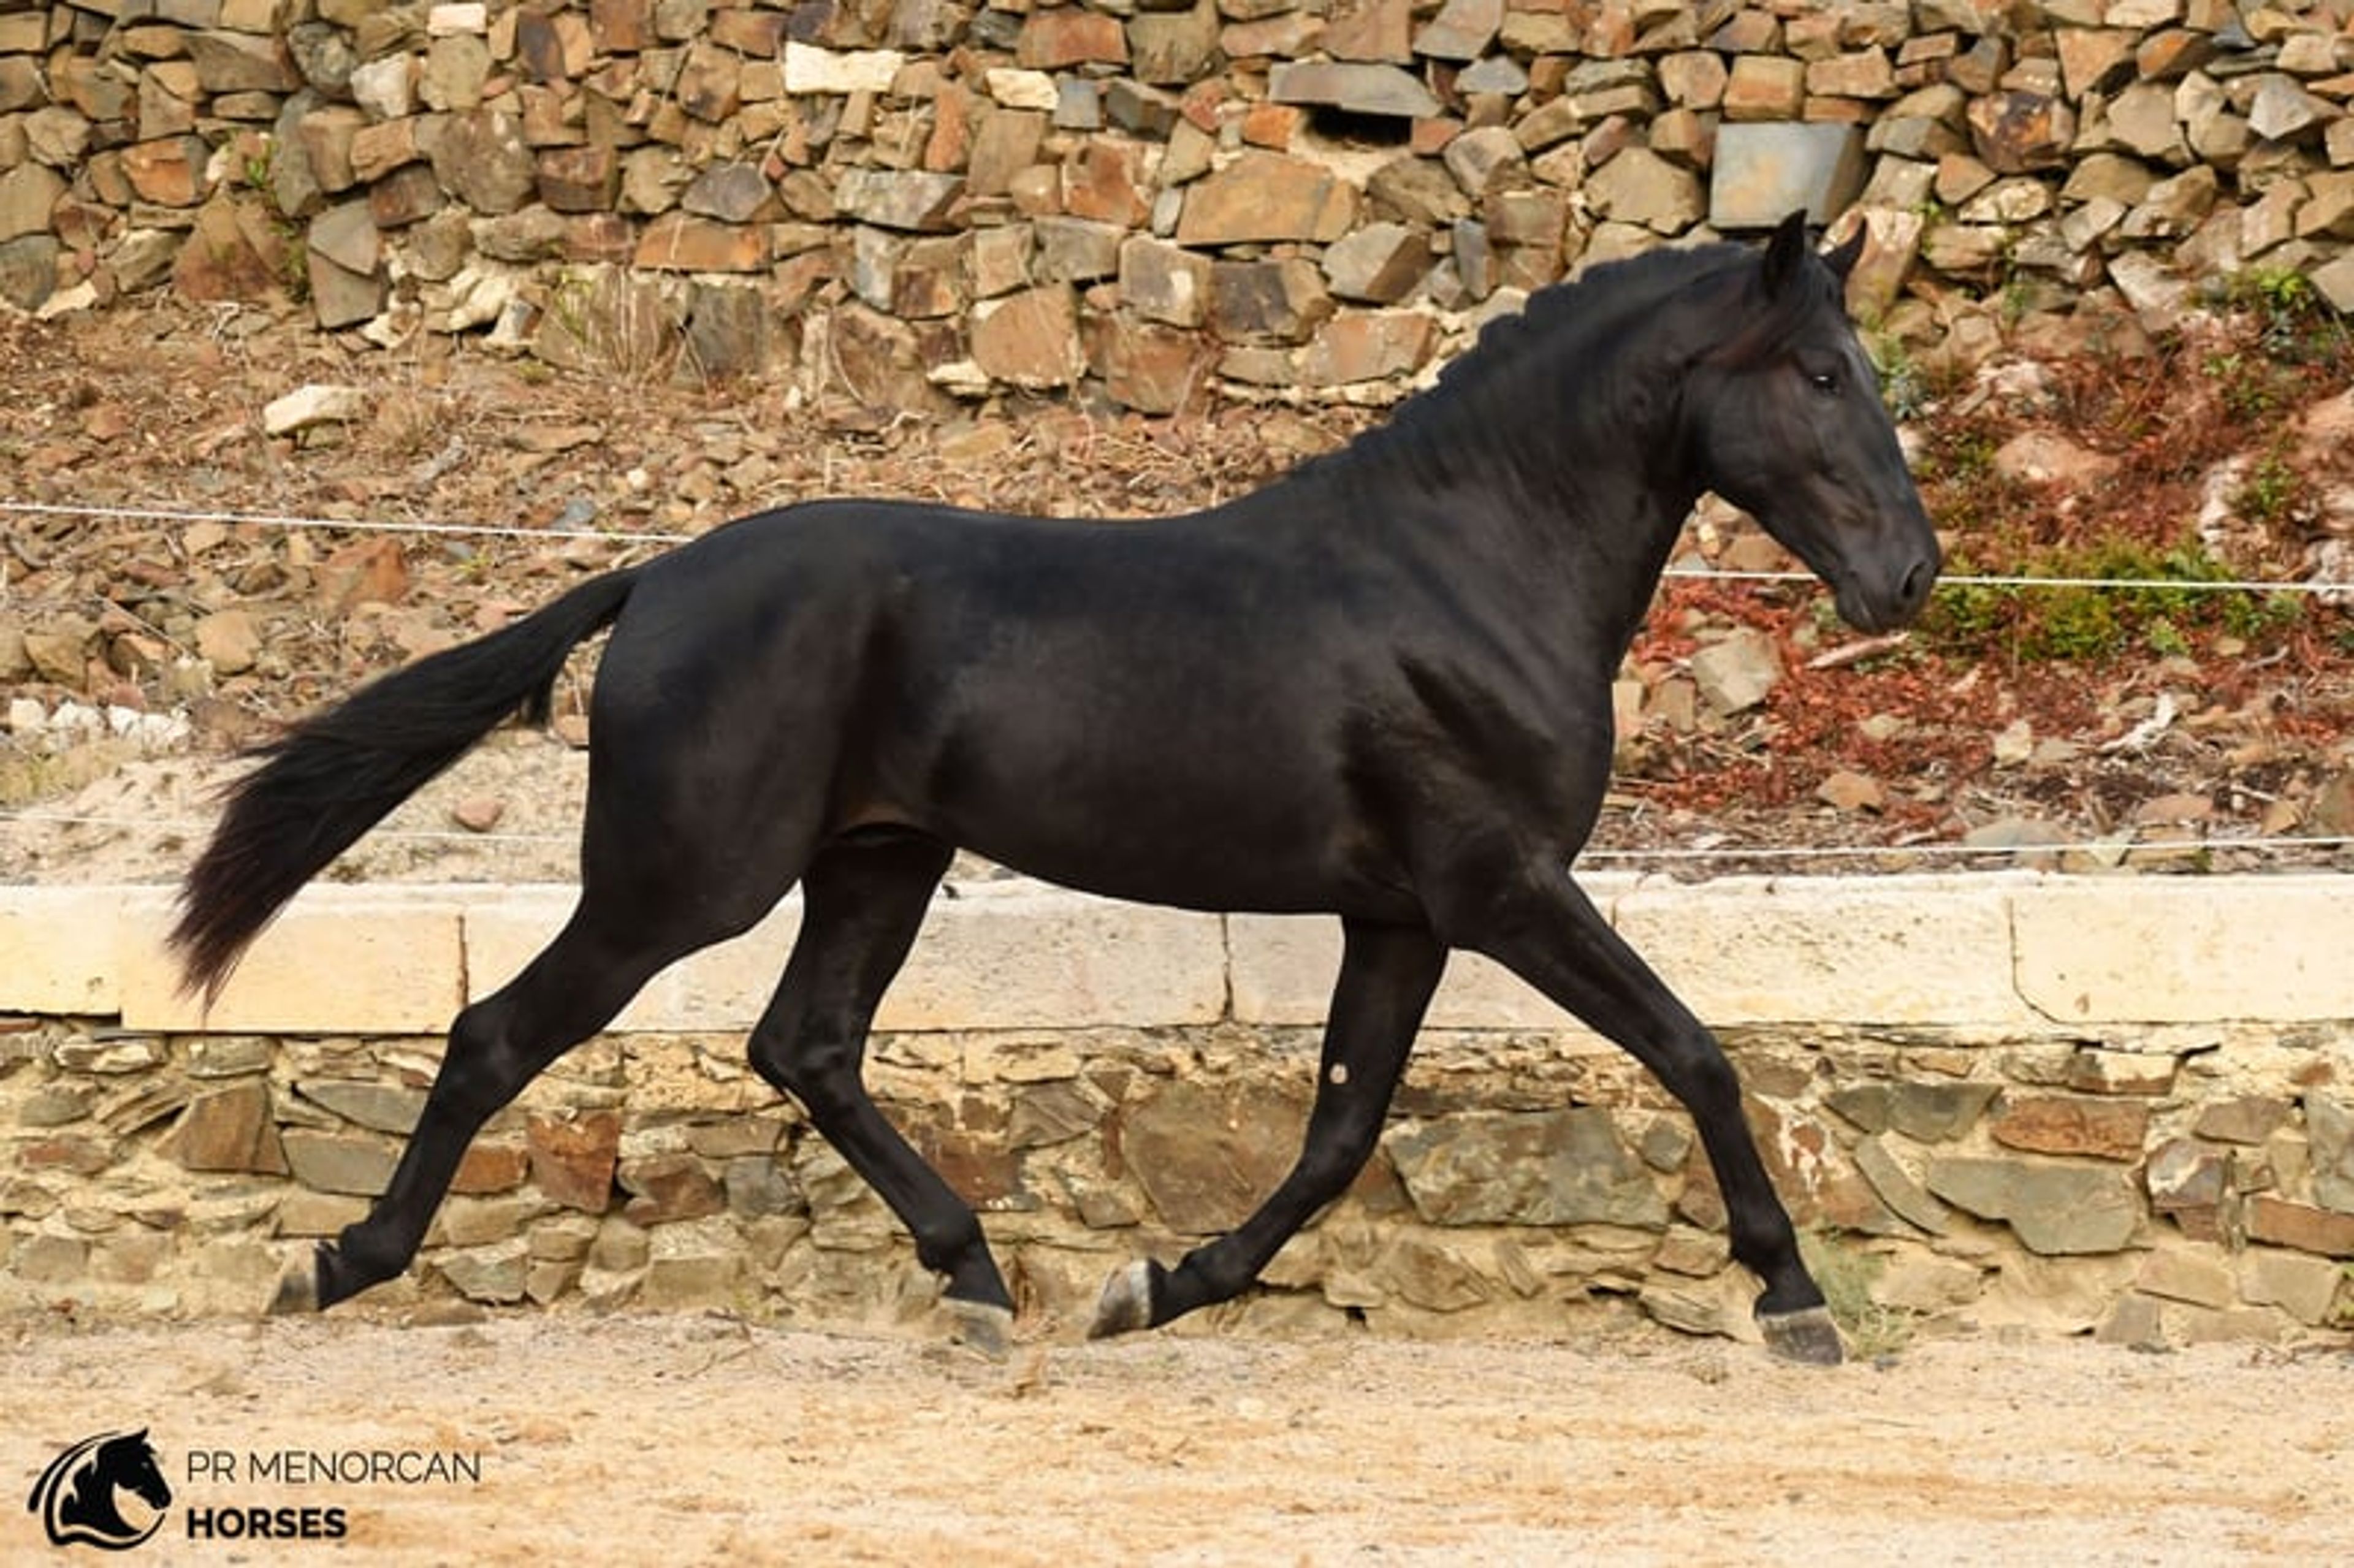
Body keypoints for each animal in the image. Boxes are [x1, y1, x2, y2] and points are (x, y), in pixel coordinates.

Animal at [174, 211, 1939, 1365]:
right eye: (1822, 376)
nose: (1911, 578)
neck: (1465, 566)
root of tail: (657, 577)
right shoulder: (1499, 886)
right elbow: (1695, 1050)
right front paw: (1791, 1296)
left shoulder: (1402, 914)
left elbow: (1339, 1131)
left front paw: (1158, 1283)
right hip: (682, 881)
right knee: (501, 1034)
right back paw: (336, 1263)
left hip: (878, 858)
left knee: (805, 1044)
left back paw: (975, 1276)